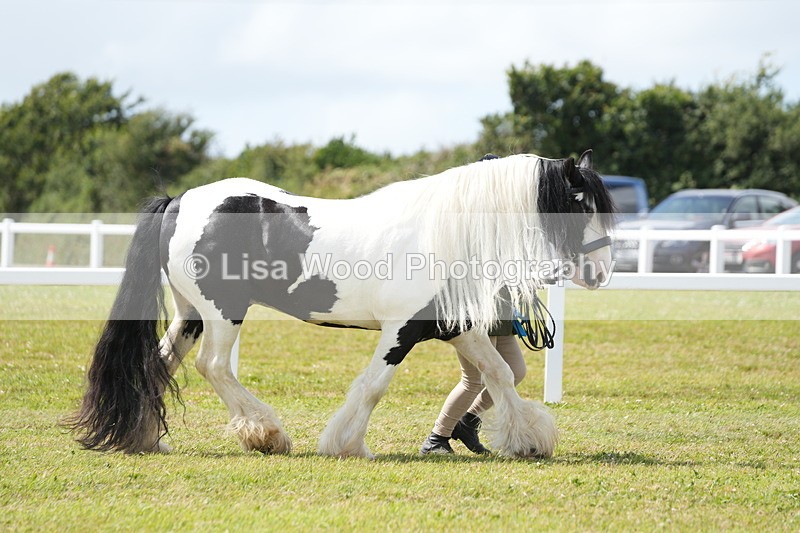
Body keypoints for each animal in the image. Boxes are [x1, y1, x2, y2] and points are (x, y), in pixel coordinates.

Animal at [67, 150, 615, 459]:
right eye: (579, 203)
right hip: (222, 313)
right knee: (215, 367)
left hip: (191, 315)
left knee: (158, 364)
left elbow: (499, 376)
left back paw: (145, 438)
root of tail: (179, 202)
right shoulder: (402, 331)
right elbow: (373, 386)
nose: (601, 272)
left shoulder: (455, 326)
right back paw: (267, 434)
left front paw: (528, 439)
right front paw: (345, 443)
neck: (442, 232)